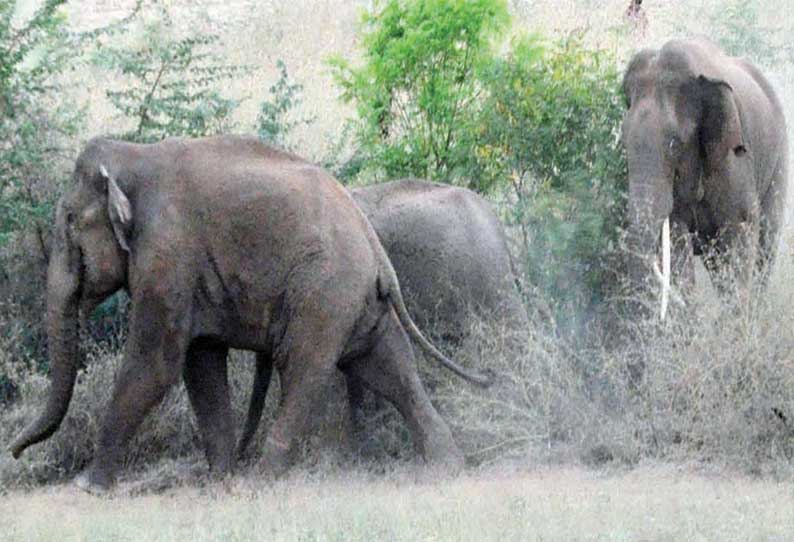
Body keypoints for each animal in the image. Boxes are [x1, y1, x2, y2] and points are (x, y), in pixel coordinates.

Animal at [9, 135, 486, 492]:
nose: (12, 452)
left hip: (324, 288)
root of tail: (373, 244)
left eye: (70, 220)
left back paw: (262, 480)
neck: (133, 154)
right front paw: (221, 479)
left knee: (304, 368)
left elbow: (154, 365)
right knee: (389, 364)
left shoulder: (168, 253)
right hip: (359, 298)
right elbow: (201, 364)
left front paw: (87, 487)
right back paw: (446, 467)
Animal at [620, 37, 784, 314]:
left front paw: (734, 321)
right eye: (623, 139)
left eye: (674, 144)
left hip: (779, 161)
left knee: (765, 243)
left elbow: (740, 230)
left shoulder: (734, 161)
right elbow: (677, 239)